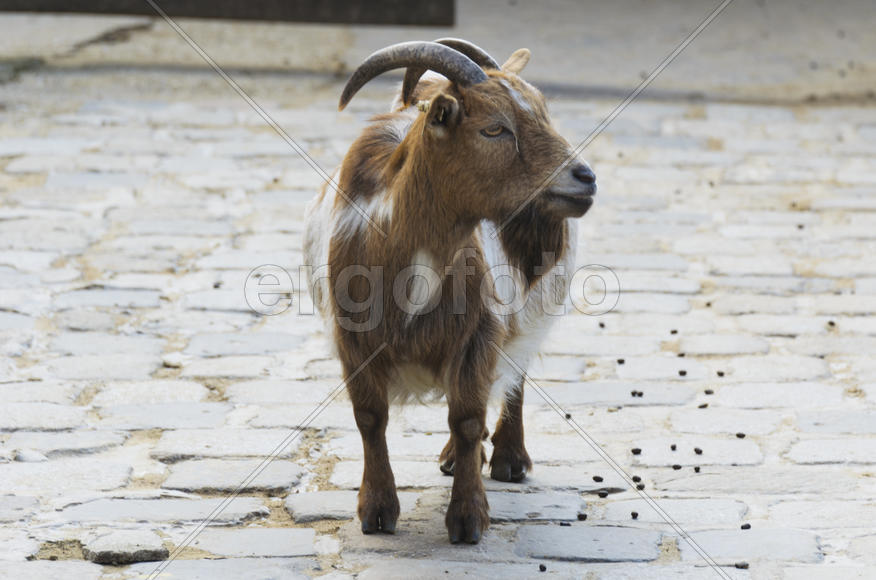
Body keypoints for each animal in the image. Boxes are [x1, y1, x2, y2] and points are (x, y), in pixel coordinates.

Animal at [303, 39, 596, 544]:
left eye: (544, 113)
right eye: (494, 128)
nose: (585, 177)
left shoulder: (479, 332)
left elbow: (467, 418)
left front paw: (467, 518)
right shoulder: (352, 338)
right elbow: (369, 417)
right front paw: (376, 510)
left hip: (532, 306)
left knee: (515, 372)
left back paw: (507, 460)